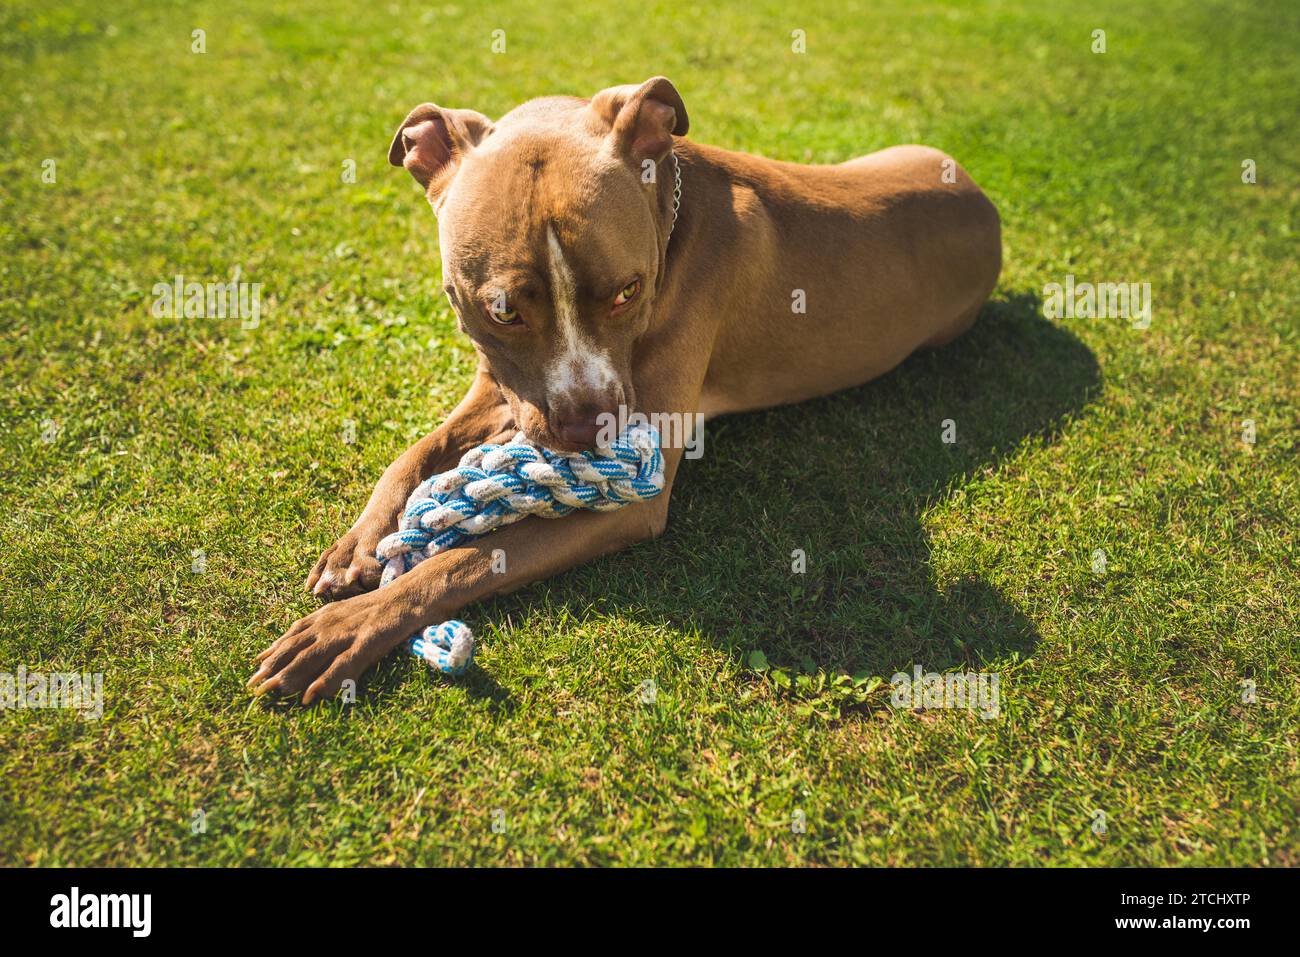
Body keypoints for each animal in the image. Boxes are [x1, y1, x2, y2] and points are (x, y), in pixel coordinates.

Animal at [248, 76, 998, 702]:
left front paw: (351, 625)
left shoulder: (631, 497)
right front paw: (359, 543)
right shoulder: (498, 386)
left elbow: (463, 559)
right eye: (502, 311)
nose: (590, 429)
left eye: (627, 291)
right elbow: (414, 453)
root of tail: (984, 199)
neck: (671, 218)